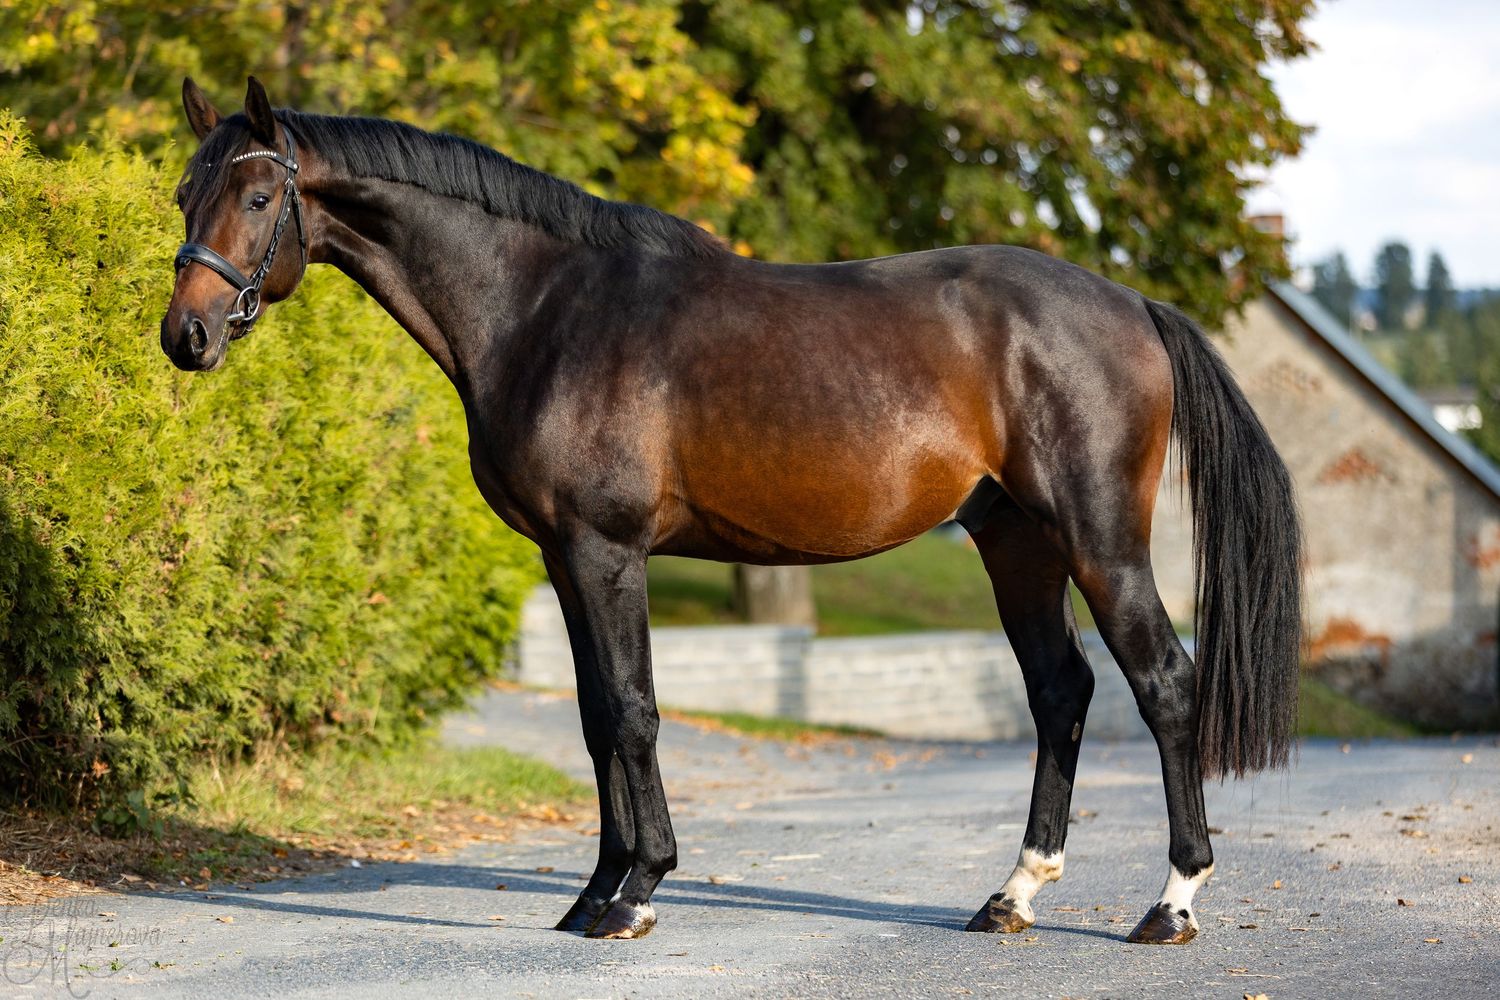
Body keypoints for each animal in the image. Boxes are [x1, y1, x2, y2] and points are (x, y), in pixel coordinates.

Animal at [160, 77, 1302, 944]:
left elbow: (632, 709)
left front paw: (636, 892)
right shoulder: (564, 558)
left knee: (1162, 683)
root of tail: (1131, 304)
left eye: (257, 195)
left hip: (1099, 537)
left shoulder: (607, 550)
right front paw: (590, 894)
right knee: (1061, 689)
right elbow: (594, 717)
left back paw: (1172, 902)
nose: (187, 336)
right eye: (183, 191)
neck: (546, 306)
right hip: (1015, 541)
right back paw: (1011, 895)